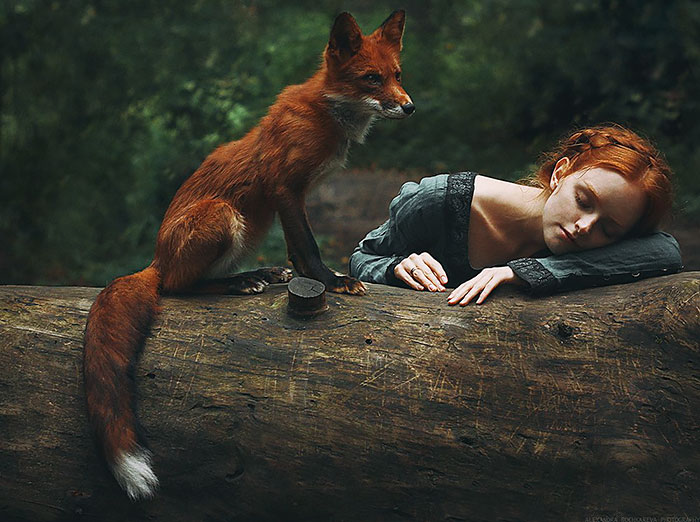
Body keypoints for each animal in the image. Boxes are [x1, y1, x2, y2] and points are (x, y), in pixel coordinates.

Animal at [83, 10, 413, 501]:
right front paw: (333, 282)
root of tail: (156, 259)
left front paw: (311, 279)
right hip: (223, 215)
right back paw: (238, 282)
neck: (328, 116)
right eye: (371, 78)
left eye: (397, 75)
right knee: (179, 288)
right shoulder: (284, 187)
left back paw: (260, 273)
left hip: (249, 228)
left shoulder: (290, 199)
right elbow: (309, 248)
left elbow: (298, 252)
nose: (409, 107)